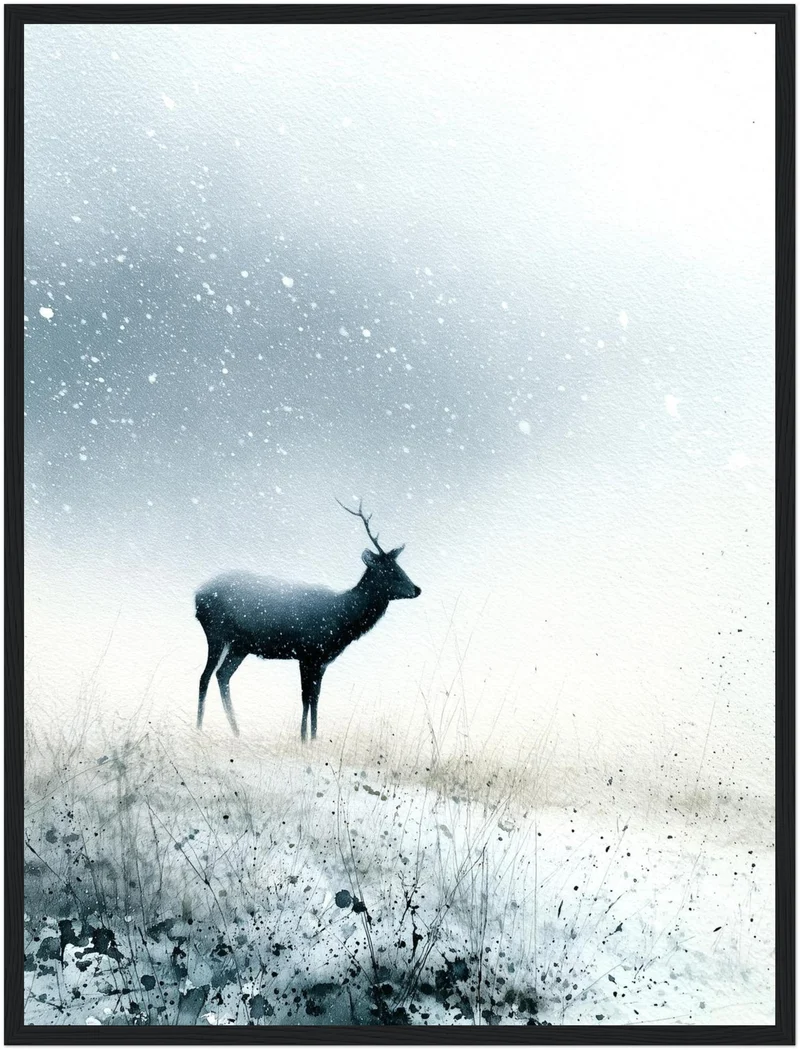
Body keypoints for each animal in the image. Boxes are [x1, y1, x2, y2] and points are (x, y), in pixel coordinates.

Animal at [194, 499, 421, 741]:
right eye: (390, 571)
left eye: (400, 568)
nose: (417, 589)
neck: (341, 621)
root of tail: (197, 597)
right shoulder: (307, 652)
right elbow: (305, 697)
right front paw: (303, 739)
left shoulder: (321, 660)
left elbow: (316, 697)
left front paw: (313, 738)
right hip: (215, 633)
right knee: (205, 676)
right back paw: (199, 728)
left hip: (240, 646)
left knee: (222, 675)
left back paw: (236, 732)